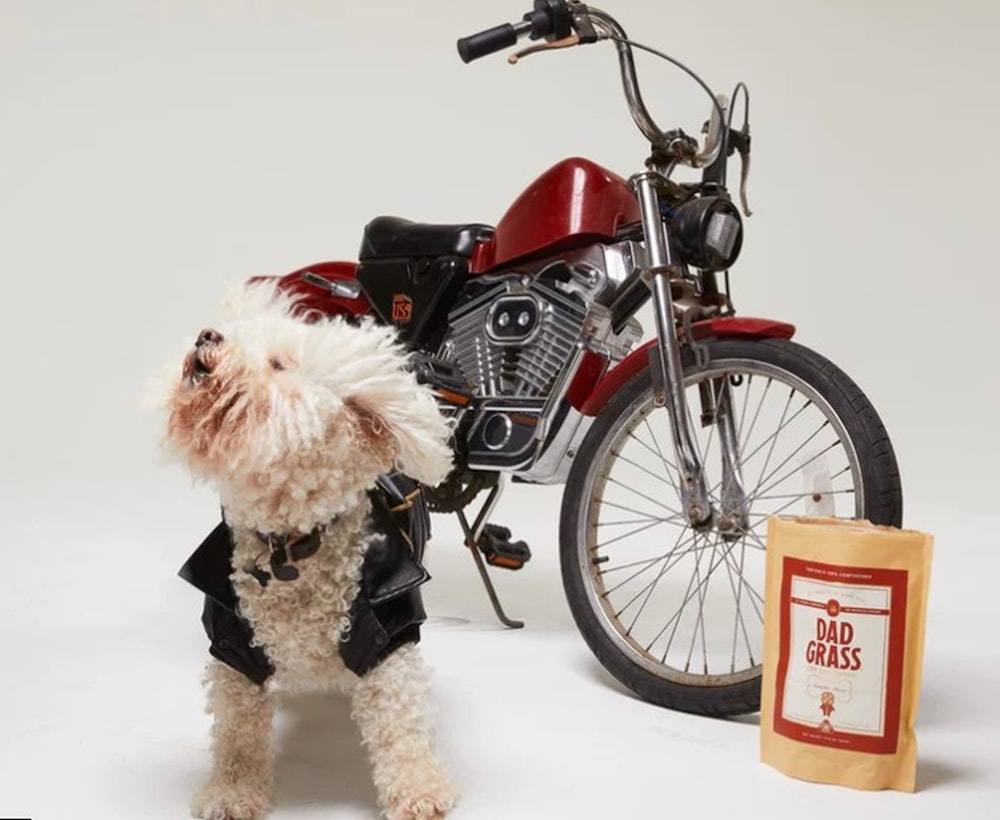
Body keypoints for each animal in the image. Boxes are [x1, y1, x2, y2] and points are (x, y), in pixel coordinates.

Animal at [156, 284, 458, 820]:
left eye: (278, 364)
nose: (207, 336)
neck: (290, 547)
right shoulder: (234, 648)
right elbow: (237, 732)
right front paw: (232, 791)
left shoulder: (392, 636)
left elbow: (401, 723)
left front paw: (418, 789)